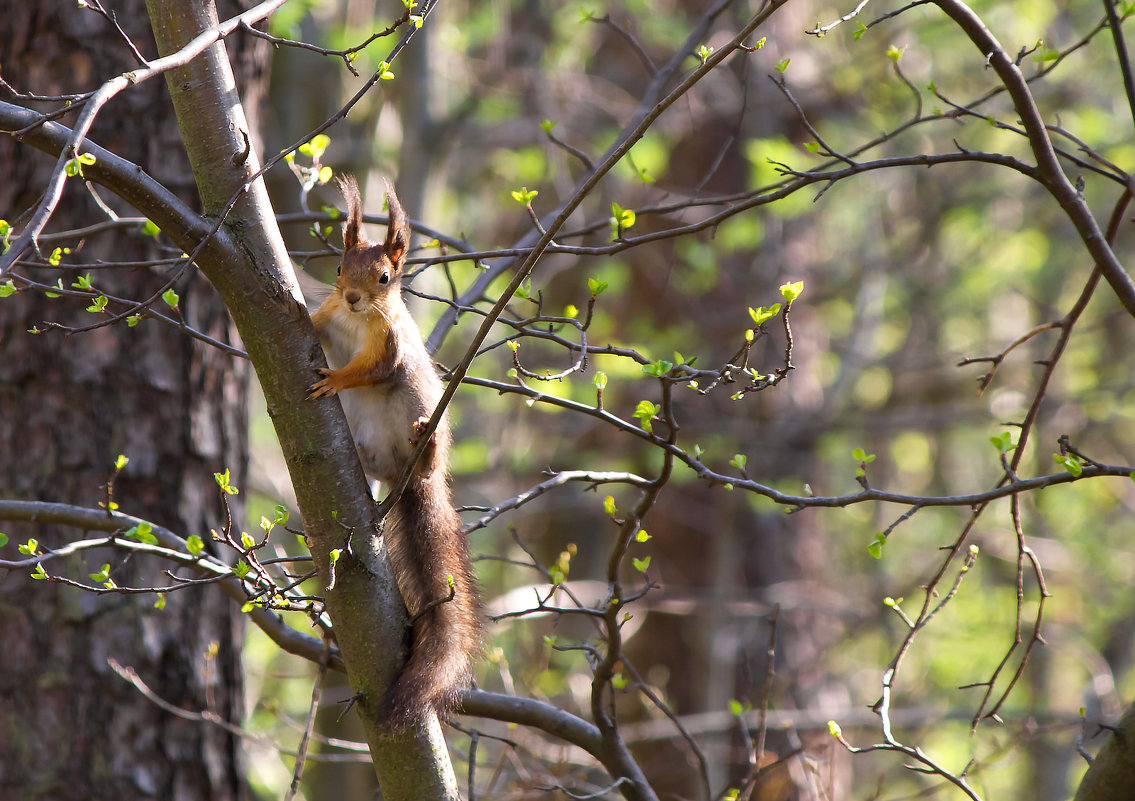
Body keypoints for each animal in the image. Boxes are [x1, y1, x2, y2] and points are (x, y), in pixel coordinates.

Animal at [306, 174, 478, 730]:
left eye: (384, 277)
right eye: (340, 268)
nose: (354, 297)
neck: (358, 322)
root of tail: (404, 478)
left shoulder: (388, 347)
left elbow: (369, 372)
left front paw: (337, 380)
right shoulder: (331, 319)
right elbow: (316, 324)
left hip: (424, 420)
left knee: (427, 454)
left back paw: (424, 443)